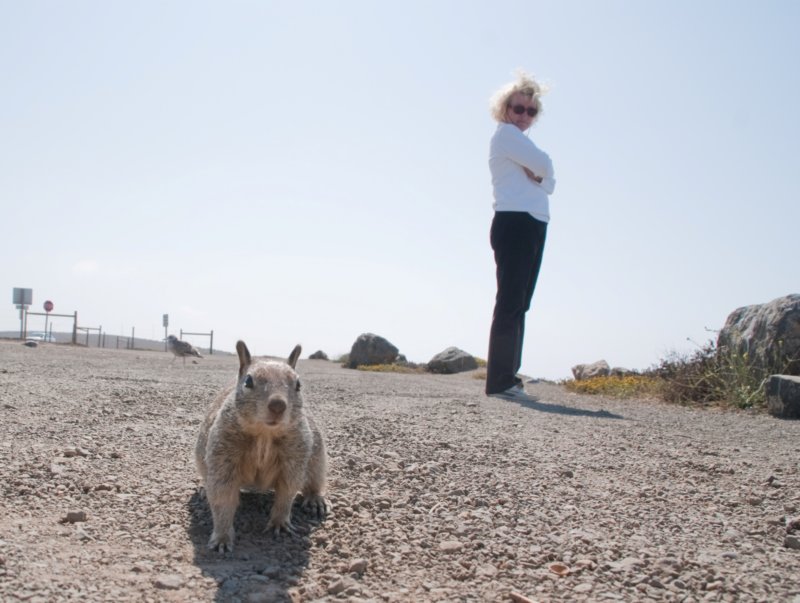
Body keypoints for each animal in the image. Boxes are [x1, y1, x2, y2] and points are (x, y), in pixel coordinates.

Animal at [195, 340, 326, 552]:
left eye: (299, 384)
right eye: (248, 381)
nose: (278, 405)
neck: (265, 434)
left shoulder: (295, 457)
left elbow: (287, 492)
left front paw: (280, 522)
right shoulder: (222, 457)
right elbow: (222, 497)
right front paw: (222, 537)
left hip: (318, 460)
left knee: (314, 481)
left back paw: (315, 500)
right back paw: (202, 489)